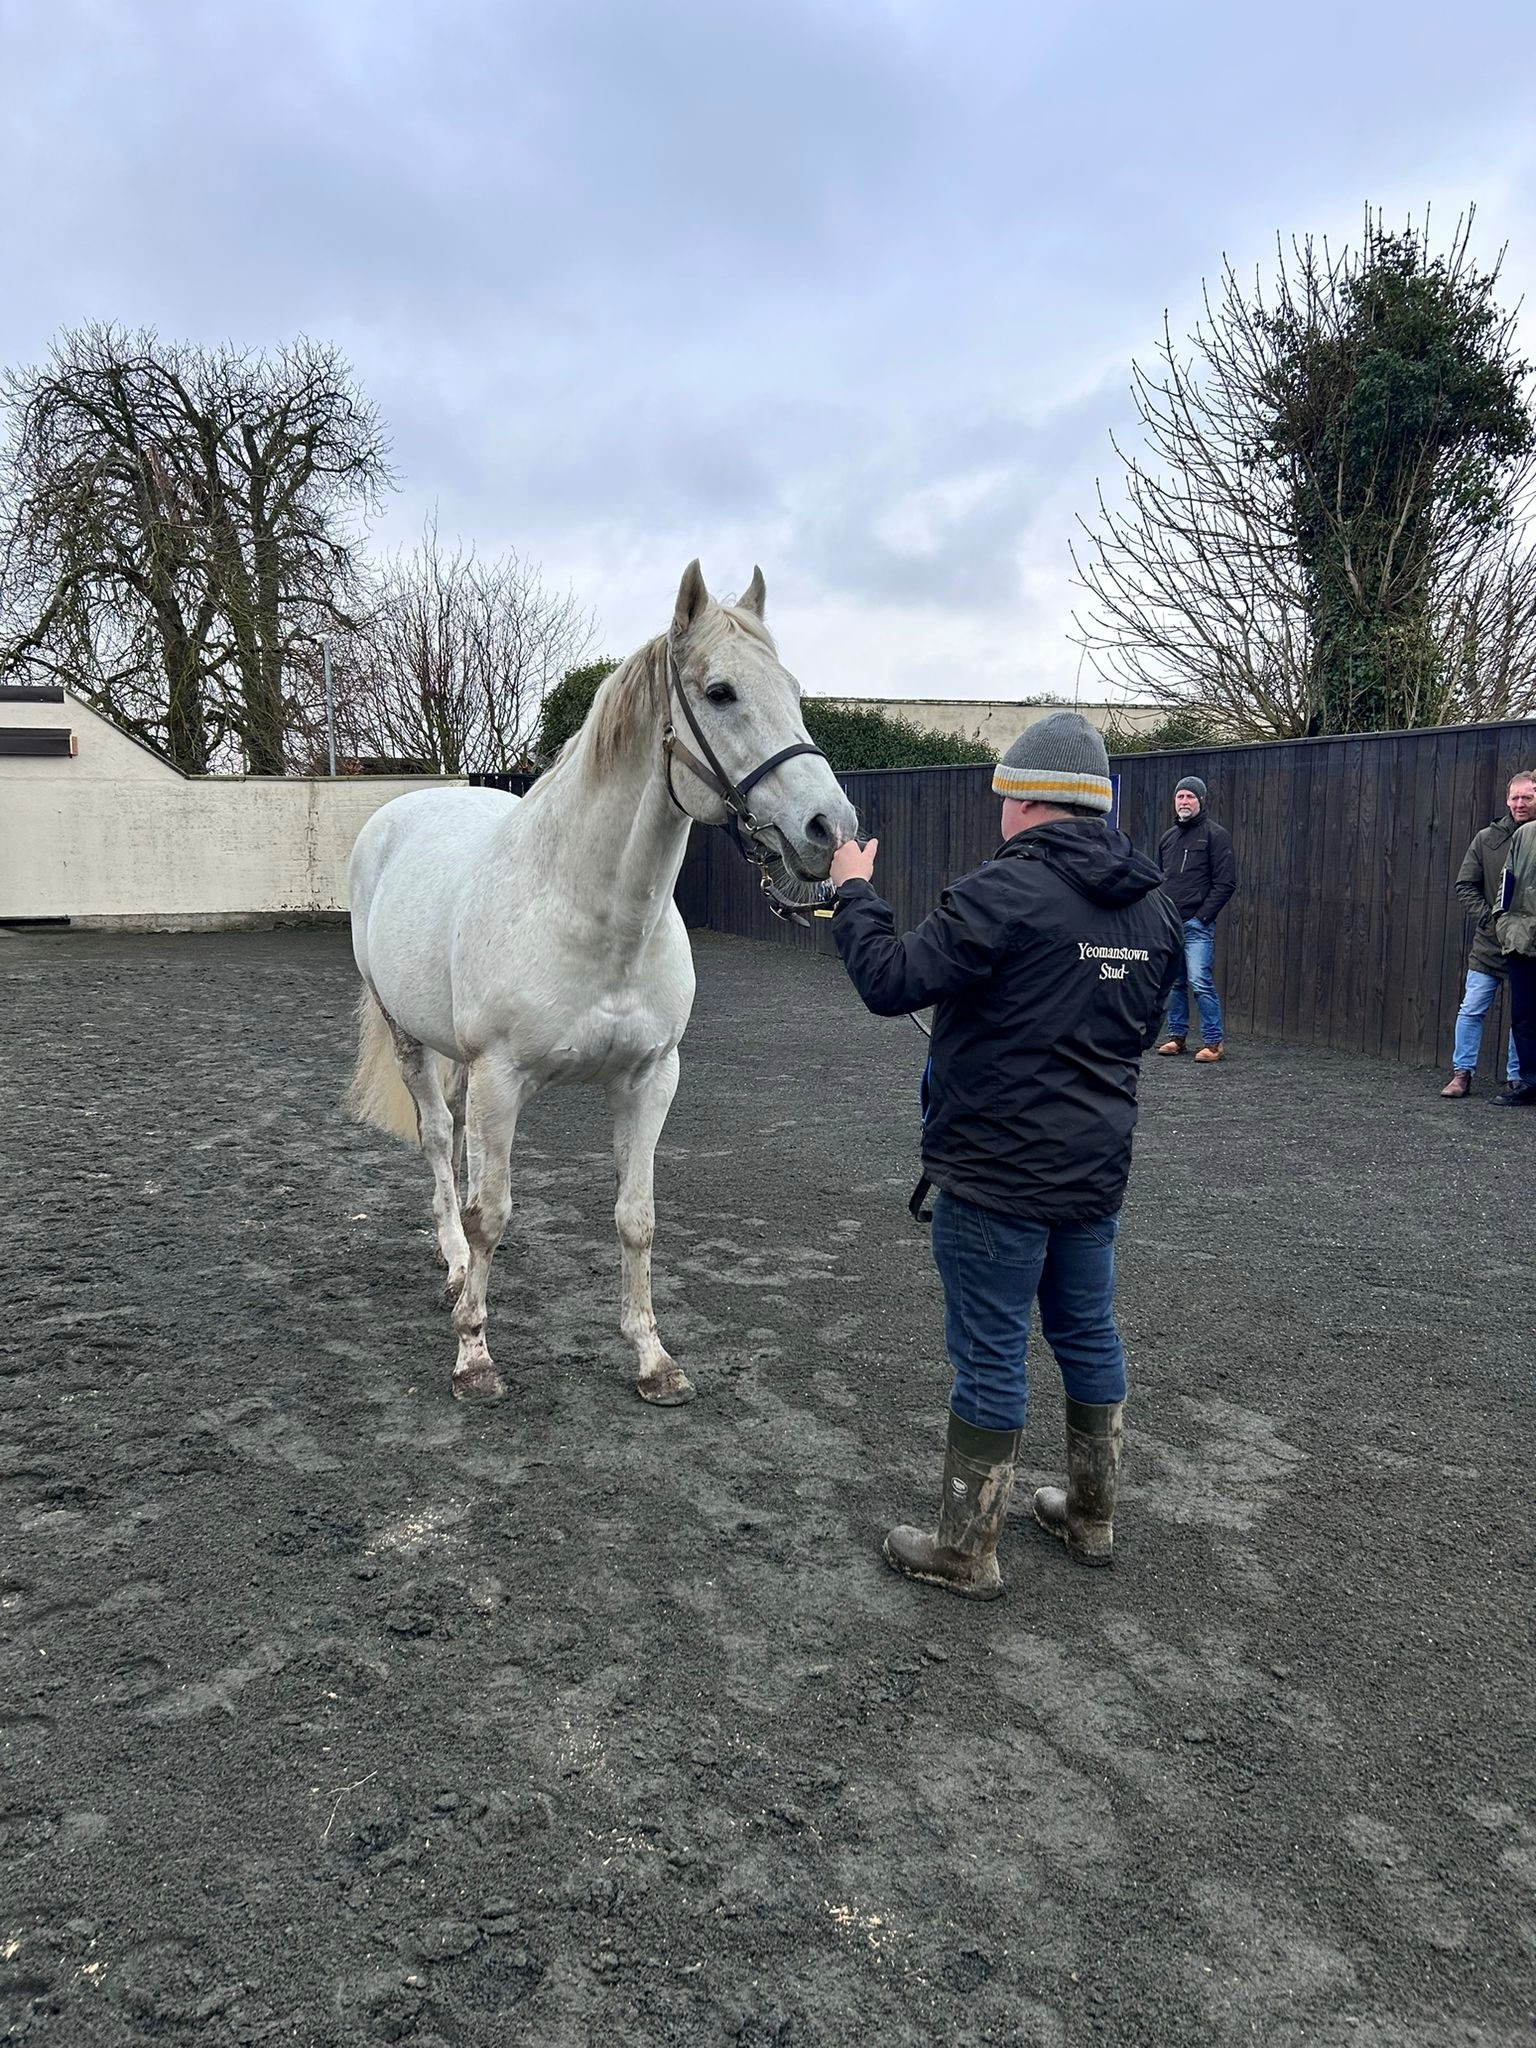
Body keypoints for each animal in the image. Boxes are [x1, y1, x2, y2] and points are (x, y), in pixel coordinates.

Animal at [342, 561, 860, 1409]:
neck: (591, 914)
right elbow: (492, 1216)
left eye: (791, 687)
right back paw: (454, 1268)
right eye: (720, 691)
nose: (830, 827)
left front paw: (652, 1359)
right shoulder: (501, 1078)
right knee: (440, 1143)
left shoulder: (649, 1078)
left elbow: (635, 1218)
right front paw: (473, 1357)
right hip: (410, 1037)